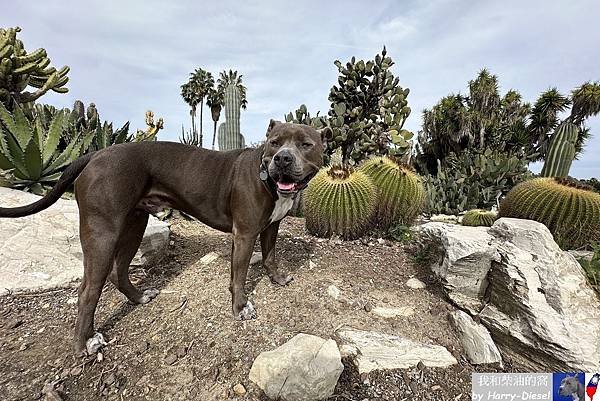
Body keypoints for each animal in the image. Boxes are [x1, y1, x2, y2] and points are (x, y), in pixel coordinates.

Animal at [0, 119, 328, 354]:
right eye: (274, 143)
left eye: (305, 144)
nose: (283, 159)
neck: (268, 179)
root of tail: (97, 152)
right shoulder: (245, 234)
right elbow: (239, 276)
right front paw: (240, 307)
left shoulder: (272, 227)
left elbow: (271, 255)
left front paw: (277, 278)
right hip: (103, 232)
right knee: (88, 291)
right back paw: (84, 345)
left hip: (134, 224)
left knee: (118, 271)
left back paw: (138, 297)